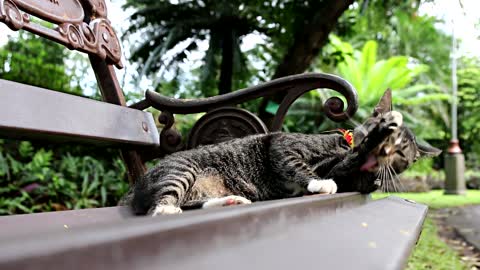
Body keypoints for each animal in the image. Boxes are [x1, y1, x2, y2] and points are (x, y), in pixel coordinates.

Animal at [123, 89, 438, 216]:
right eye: (393, 140)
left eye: (402, 156)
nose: (387, 150)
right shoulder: (282, 144)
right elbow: (297, 164)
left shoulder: (347, 173)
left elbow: (353, 172)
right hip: (182, 170)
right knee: (159, 208)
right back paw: (170, 207)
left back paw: (229, 202)